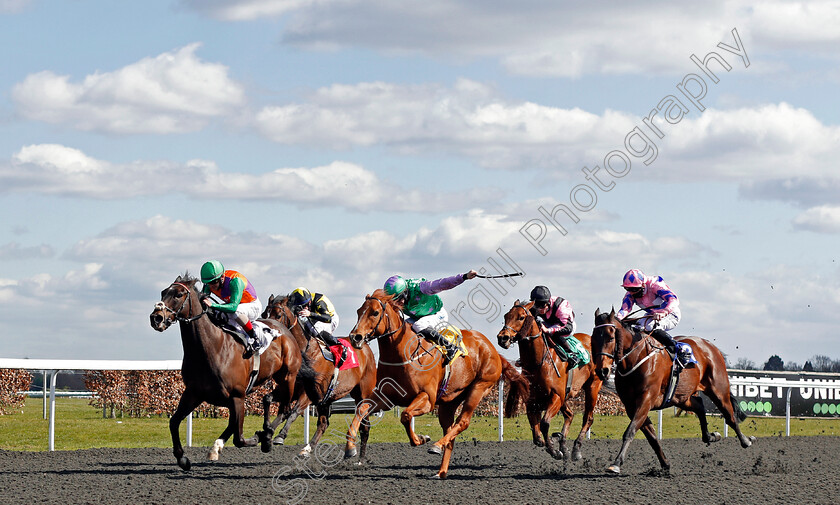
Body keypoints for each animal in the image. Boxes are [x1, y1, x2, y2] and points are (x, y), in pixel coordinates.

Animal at [150, 274, 302, 470]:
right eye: (163, 292)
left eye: (178, 294)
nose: (156, 318)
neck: (211, 348)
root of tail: (284, 329)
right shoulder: (194, 393)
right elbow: (174, 422)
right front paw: (182, 458)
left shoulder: (237, 396)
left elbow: (240, 439)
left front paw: (258, 437)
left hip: (288, 377)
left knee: (285, 408)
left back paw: (267, 437)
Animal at [260, 292, 378, 460]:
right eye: (265, 314)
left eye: (278, 315)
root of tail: (365, 347)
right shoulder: (290, 389)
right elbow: (268, 399)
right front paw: (266, 432)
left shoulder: (309, 392)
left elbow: (294, 411)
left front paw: (279, 436)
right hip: (328, 399)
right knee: (324, 424)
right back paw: (307, 448)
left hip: (363, 393)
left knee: (363, 421)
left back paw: (357, 455)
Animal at [346, 290, 528, 478]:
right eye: (359, 311)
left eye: (375, 312)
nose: (355, 337)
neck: (402, 353)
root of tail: (493, 350)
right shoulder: (386, 397)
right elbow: (361, 408)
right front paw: (350, 448)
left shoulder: (427, 399)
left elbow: (406, 415)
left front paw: (421, 439)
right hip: (449, 402)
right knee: (450, 432)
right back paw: (441, 471)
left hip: (479, 388)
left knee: (462, 422)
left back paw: (436, 446)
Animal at [496, 300, 600, 460]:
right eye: (506, 316)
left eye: (521, 317)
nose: (502, 338)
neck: (538, 362)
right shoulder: (532, 400)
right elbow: (537, 435)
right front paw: (555, 444)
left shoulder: (556, 396)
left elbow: (544, 424)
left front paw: (554, 450)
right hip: (565, 396)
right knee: (570, 415)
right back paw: (563, 444)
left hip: (592, 387)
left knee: (588, 418)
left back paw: (576, 449)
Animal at [592, 306, 756, 474]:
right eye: (593, 338)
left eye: (610, 338)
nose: (602, 370)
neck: (636, 358)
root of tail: (710, 346)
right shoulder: (631, 405)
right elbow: (651, 436)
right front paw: (665, 464)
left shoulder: (646, 399)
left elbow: (630, 431)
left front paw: (616, 463)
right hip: (681, 397)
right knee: (699, 405)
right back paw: (711, 436)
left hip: (718, 389)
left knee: (730, 416)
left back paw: (746, 440)